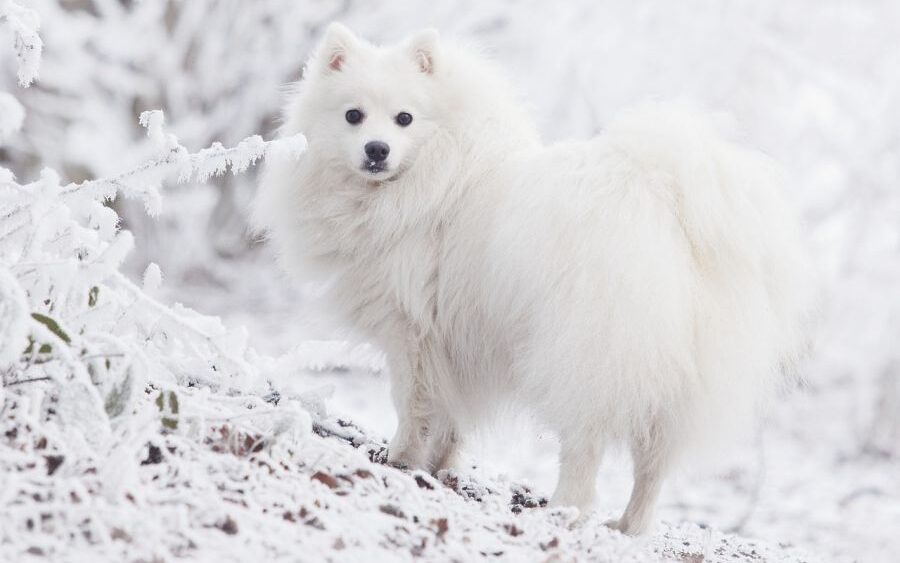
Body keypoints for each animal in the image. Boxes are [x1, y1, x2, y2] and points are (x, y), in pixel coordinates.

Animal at [251, 24, 808, 536]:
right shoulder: (457, 342)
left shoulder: (413, 333)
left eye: (404, 118)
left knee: (585, 448)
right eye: (353, 115)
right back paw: (629, 526)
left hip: (585, 357)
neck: (432, 175)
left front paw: (402, 461)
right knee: (653, 467)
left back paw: (564, 513)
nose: (376, 148)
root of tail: (668, 208)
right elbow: (452, 419)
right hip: (670, 386)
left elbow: (415, 406)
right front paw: (439, 468)